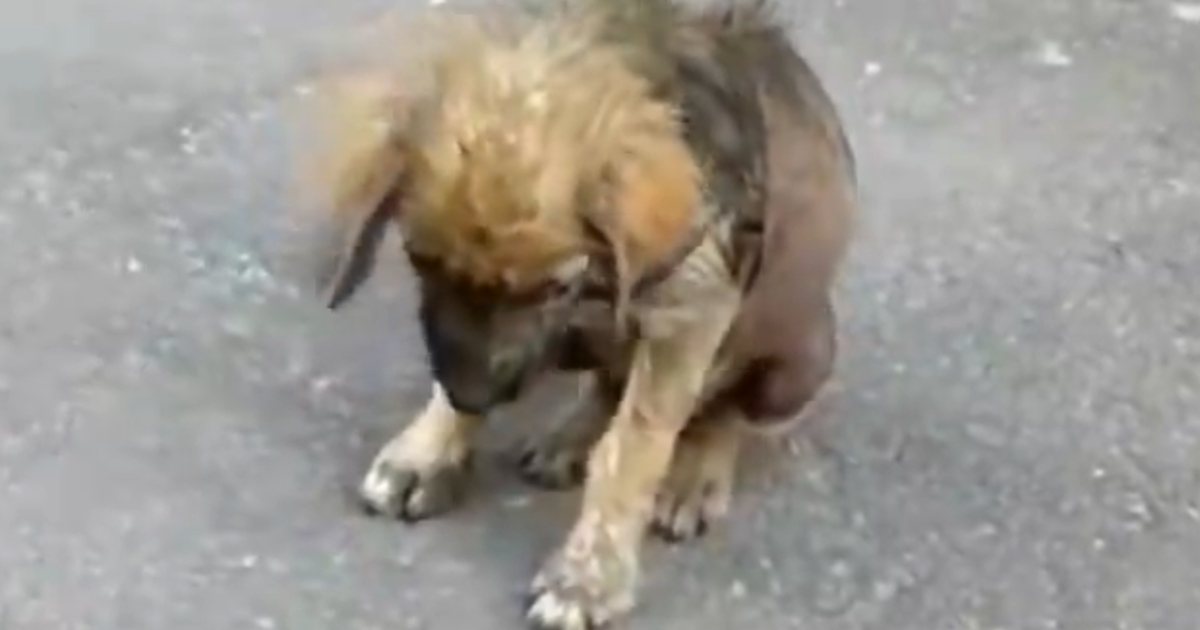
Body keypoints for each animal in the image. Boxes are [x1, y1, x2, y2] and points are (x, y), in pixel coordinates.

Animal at [304, 2, 859, 624]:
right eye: (420, 260)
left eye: (551, 287)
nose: (474, 398)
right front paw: (427, 452)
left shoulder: (689, 316)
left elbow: (634, 449)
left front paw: (587, 578)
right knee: (606, 383)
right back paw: (568, 438)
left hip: (797, 358)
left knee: (721, 415)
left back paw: (693, 476)